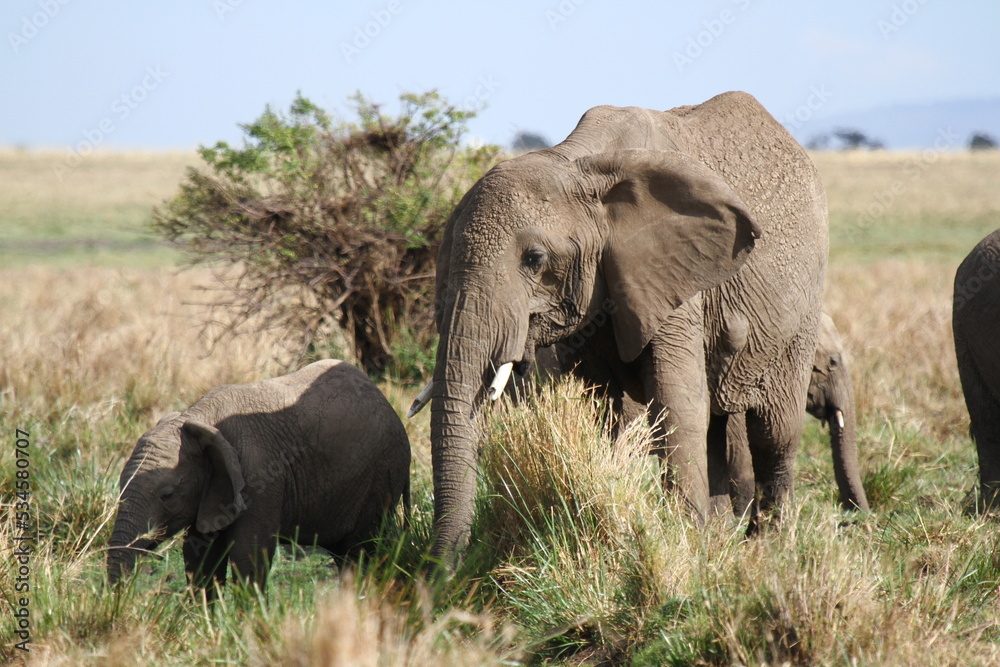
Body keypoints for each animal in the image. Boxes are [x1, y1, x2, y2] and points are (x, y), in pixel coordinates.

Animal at [107, 359, 411, 593]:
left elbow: (247, 554)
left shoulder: (260, 480)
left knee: (361, 550)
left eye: (167, 496)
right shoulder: (214, 490)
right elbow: (200, 557)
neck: (198, 419)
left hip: (382, 473)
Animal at [410, 91, 829, 565]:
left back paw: (770, 548)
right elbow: (606, 409)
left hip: (802, 312)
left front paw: (686, 549)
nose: (437, 572)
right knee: (716, 426)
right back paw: (722, 542)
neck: (576, 165)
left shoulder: (675, 277)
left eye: (534, 260)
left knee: (774, 433)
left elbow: (677, 403)